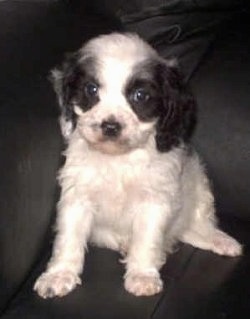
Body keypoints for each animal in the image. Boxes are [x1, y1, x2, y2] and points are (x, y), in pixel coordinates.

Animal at [33, 32, 242, 300]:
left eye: (140, 96)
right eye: (91, 90)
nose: (110, 126)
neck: (119, 159)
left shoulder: (154, 201)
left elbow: (146, 240)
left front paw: (142, 274)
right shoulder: (78, 196)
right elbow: (69, 237)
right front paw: (59, 274)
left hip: (198, 180)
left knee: (195, 223)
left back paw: (219, 239)